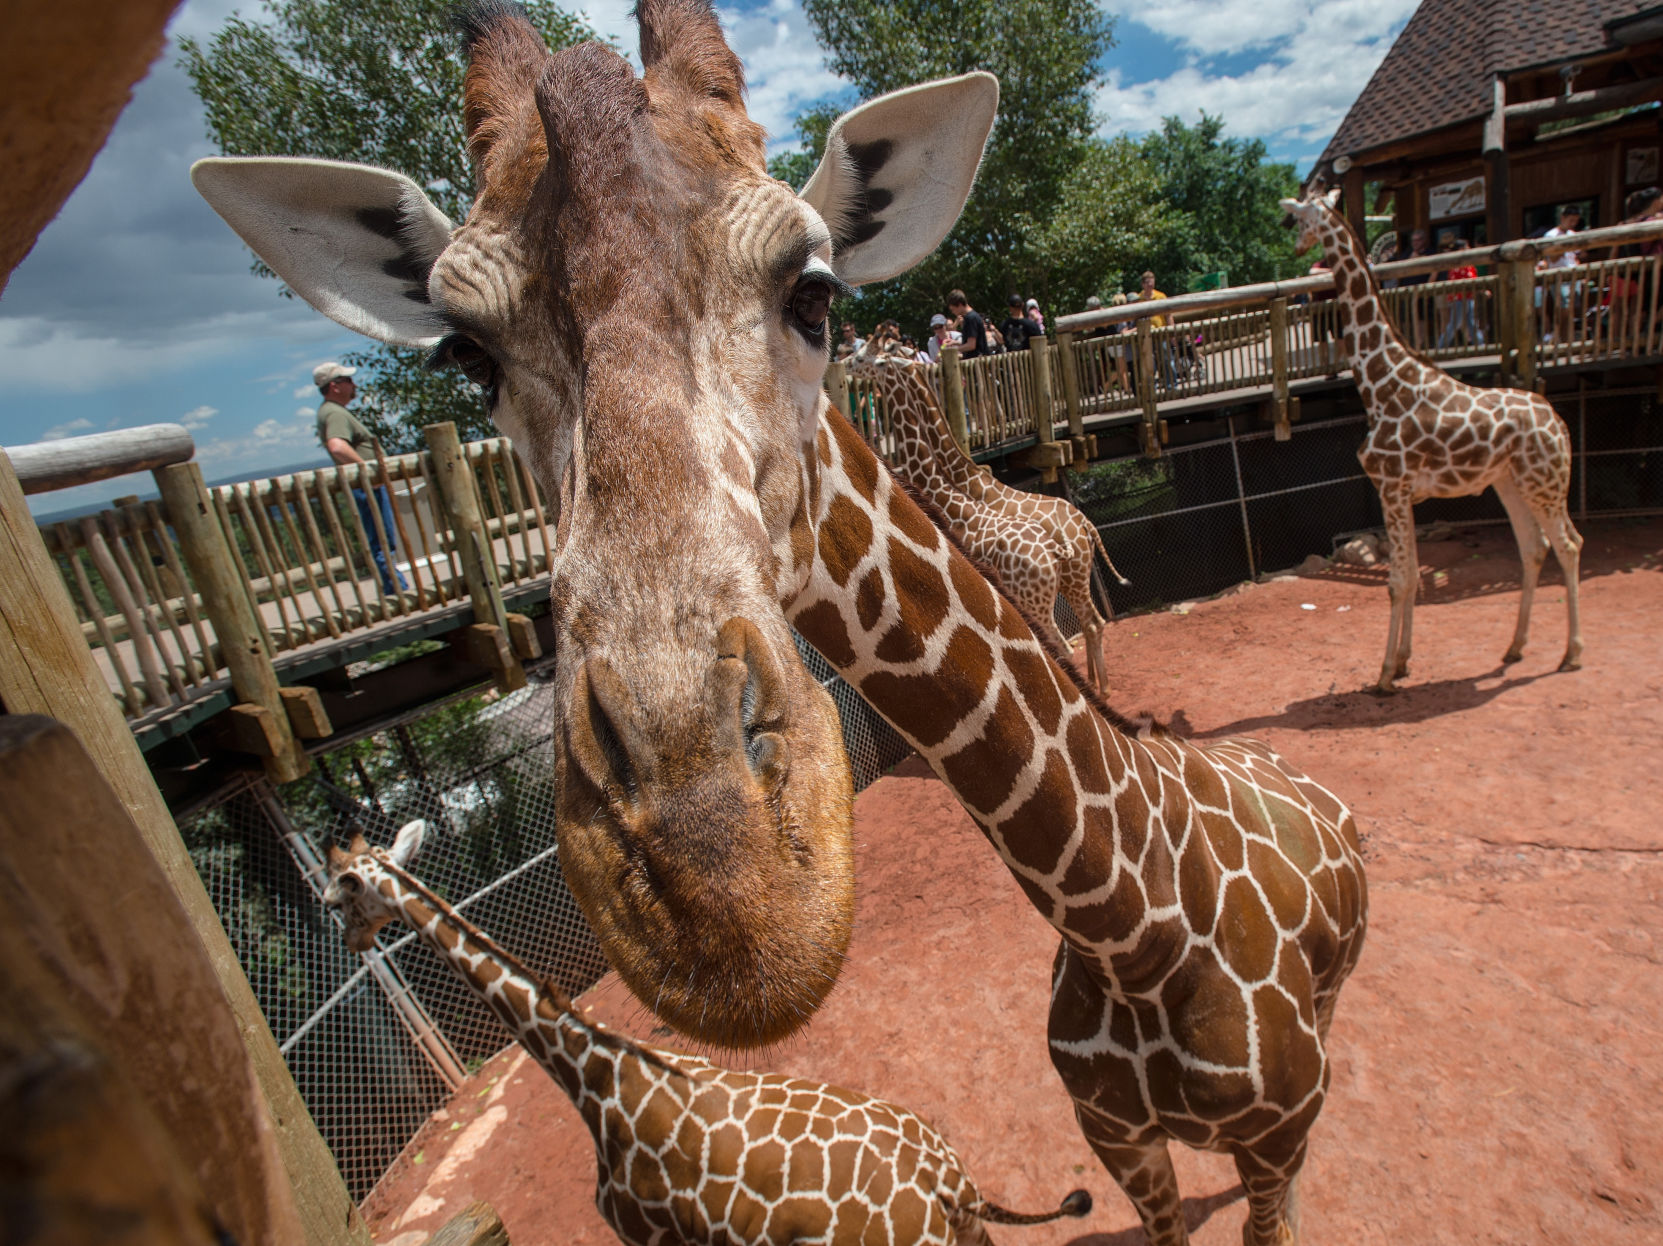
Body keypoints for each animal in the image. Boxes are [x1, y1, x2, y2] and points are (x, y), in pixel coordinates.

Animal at [324, 820, 1093, 1246]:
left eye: (340, 894)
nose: (350, 940)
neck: (600, 1085)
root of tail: (949, 1184)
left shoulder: (647, 1237)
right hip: (969, 1237)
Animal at [859, 357, 1129, 692]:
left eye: (877, 357)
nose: (854, 362)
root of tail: (1084, 526)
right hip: (1072, 579)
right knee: (1093, 623)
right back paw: (1099, 686)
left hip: (1044, 596)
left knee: (1068, 644)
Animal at [1280, 188, 1584, 693]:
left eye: (1301, 216)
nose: (1297, 248)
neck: (1380, 382)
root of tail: (1559, 423)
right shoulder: (1404, 494)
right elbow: (1411, 576)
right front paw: (1403, 662)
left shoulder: (1391, 487)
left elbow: (1399, 581)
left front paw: (1385, 674)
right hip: (1511, 483)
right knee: (1534, 548)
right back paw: (1514, 648)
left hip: (1544, 483)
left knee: (1569, 545)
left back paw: (1572, 654)